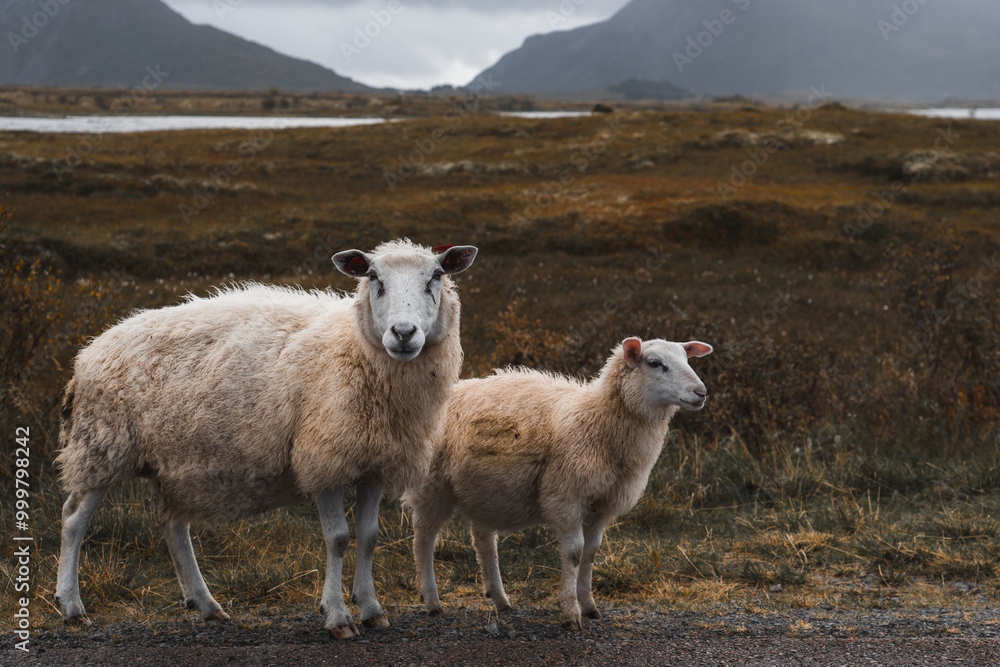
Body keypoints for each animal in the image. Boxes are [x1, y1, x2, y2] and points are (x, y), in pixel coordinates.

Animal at [54, 239, 478, 639]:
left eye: (436, 276)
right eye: (373, 278)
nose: (403, 334)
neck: (352, 349)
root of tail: (89, 351)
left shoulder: (372, 462)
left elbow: (369, 536)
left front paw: (372, 610)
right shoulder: (322, 458)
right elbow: (338, 539)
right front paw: (338, 617)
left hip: (173, 461)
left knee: (173, 527)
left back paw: (207, 605)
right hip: (102, 445)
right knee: (74, 519)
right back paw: (72, 607)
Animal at [406, 336, 712, 630]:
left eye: (687, 359)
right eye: (654, 363)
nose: (701, 392)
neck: (597, 420)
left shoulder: (601, 505)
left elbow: (591, 554)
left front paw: (589, 606)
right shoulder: (566, 497)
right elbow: (575, 553)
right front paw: (570, 612)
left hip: (485, 490)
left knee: (483, 541)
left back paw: (500, 599)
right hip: (433, 485)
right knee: (424, 539)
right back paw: (432, 601)